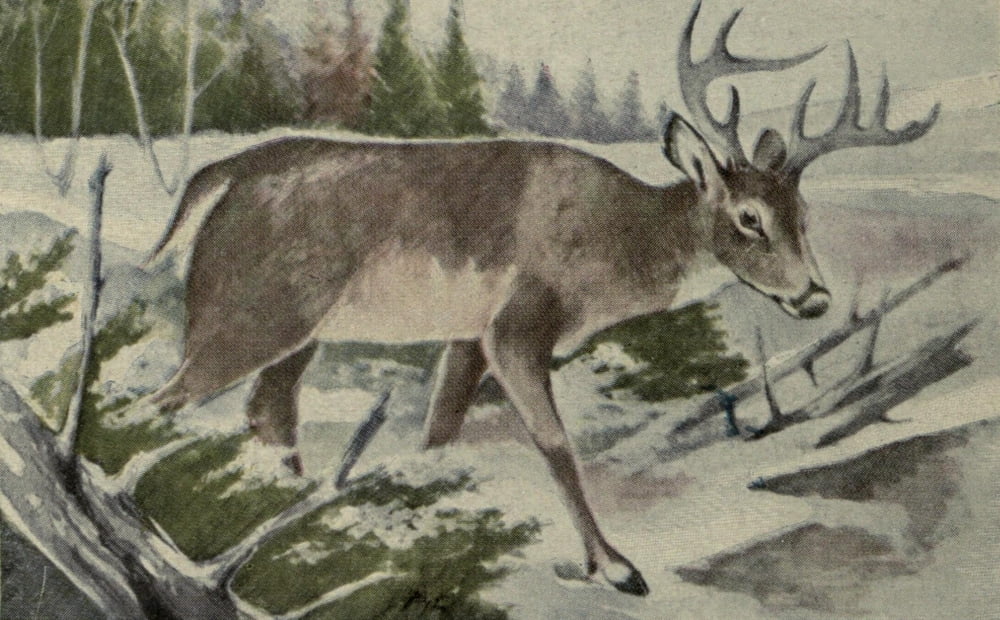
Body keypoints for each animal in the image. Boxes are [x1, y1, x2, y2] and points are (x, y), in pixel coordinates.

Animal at [146, 0, 938, 596]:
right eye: (749, 219)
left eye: (805, 216)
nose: (813, 298)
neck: (615, 248)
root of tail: (222, 174)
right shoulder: (517, 325)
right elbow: (556, 445)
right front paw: (615, 568)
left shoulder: (468, 334)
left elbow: (439, 432)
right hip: (249, 311)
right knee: (166, 400)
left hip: (296, 330)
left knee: (266, 412)